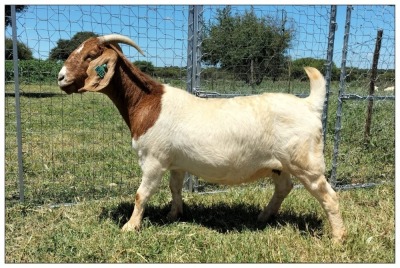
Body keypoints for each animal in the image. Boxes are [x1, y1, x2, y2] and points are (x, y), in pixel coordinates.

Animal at [57, 34, 346, 243]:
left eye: (91, 55)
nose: (60, 77)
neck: (148, 103)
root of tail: (309, 105)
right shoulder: (176, 162)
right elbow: (175, 188)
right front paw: (174, 214)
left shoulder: (153, 160)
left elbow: (142, 194)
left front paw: (130, 227)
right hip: (279, 164)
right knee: (284, 188)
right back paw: (263, 217)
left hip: (306, 163)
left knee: (329, 196)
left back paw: (337, 238)